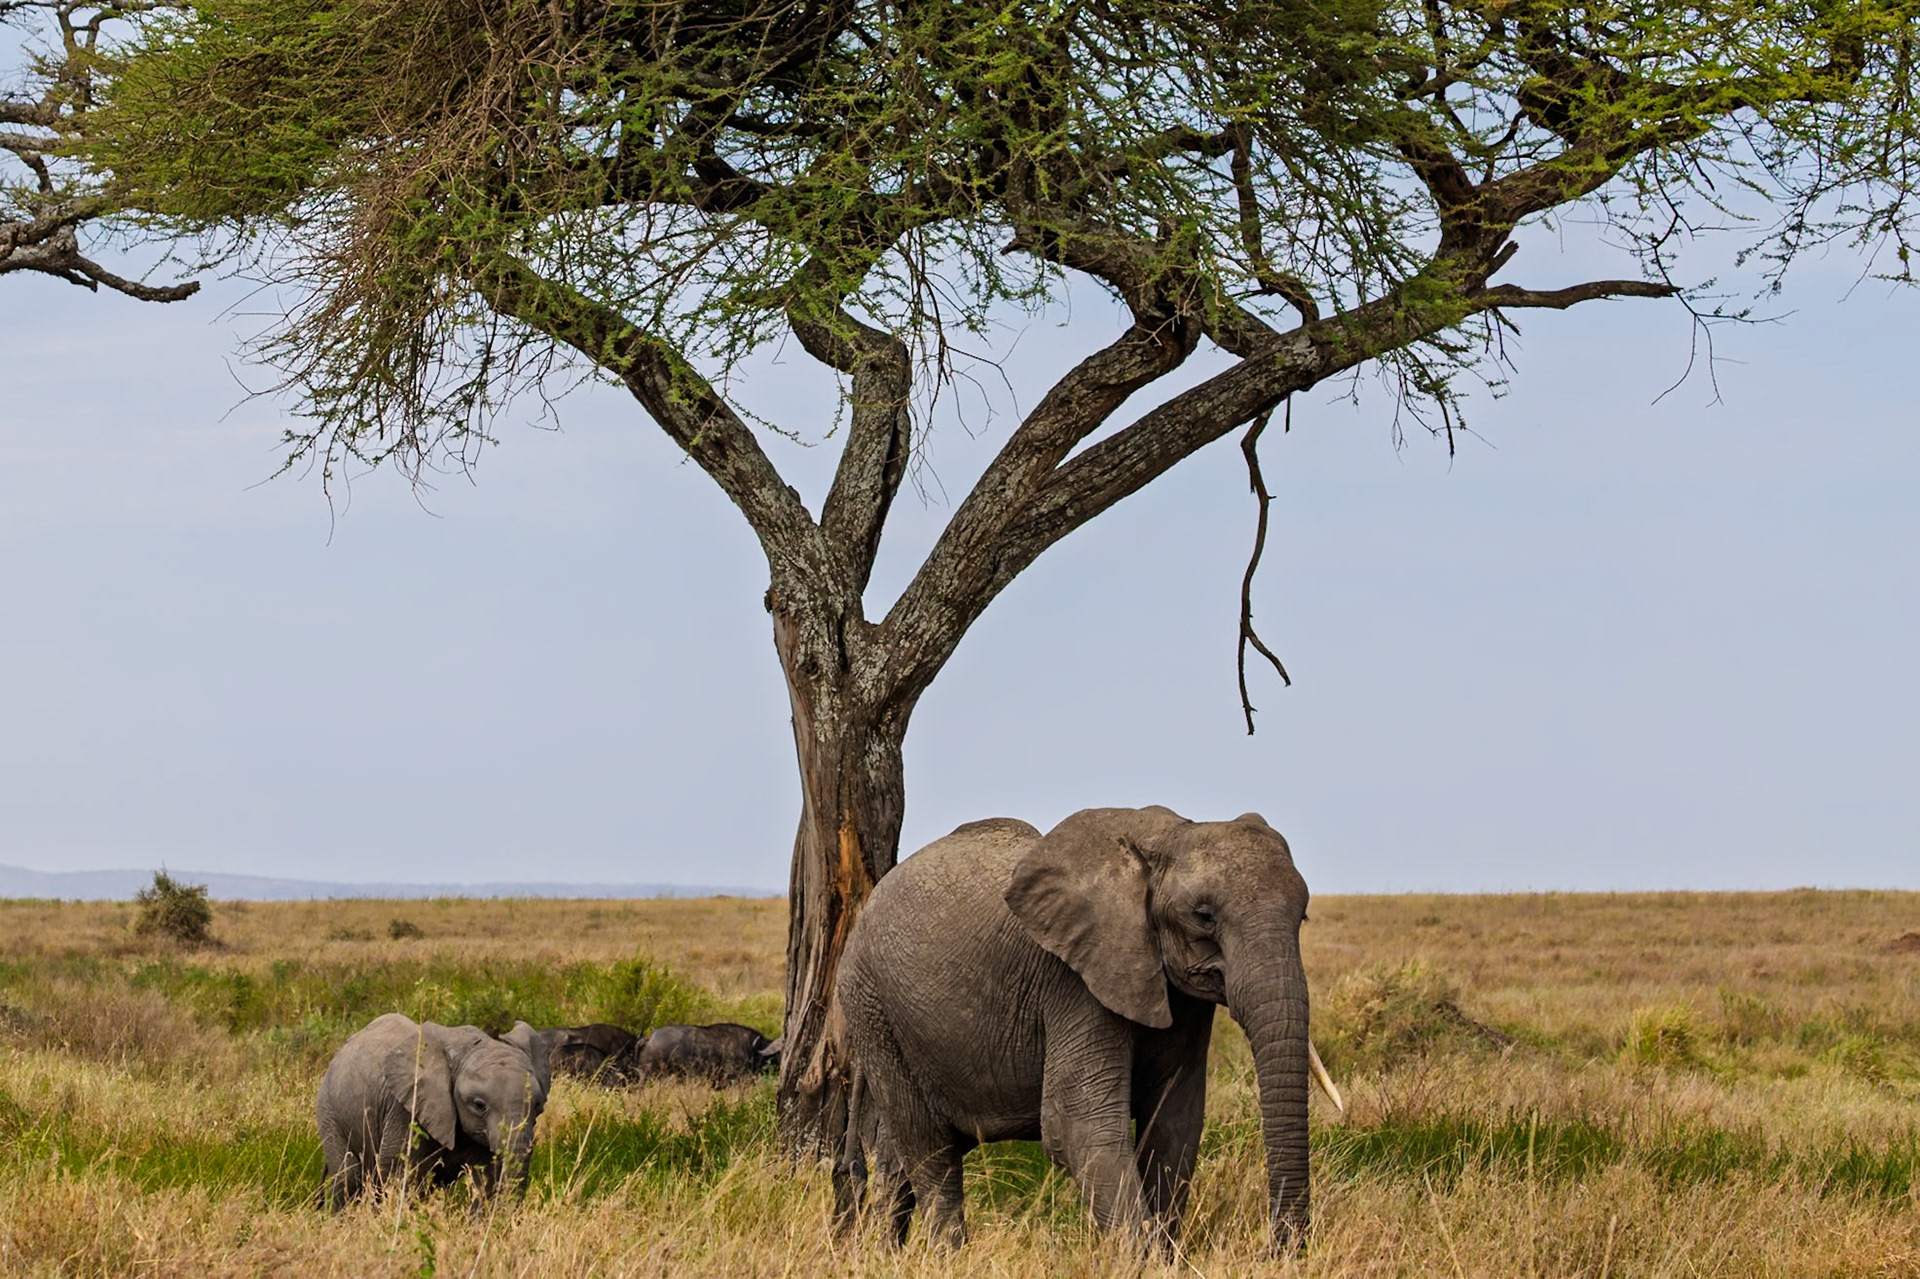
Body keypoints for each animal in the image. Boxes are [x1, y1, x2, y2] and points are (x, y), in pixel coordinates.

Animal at [316, 1013, 563, 1209]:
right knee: (348, 1176)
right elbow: (398, 1171)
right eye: (479, 1105)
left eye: (538, 1106)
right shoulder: (405, 1108)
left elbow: (487, 1178)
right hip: (329, 1110)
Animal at [833, 806, 1317, 1252]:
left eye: (1303, 918)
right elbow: (1076, 1126)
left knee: (904, 1157)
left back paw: (886, 1254)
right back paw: (946, 1257)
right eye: (1203, 916)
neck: (1164, 839)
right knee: (931, 1150)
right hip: (872, 1006)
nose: (1277, 1249)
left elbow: (1174, 1124)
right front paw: (1144, 1261)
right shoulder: (1073, 982)